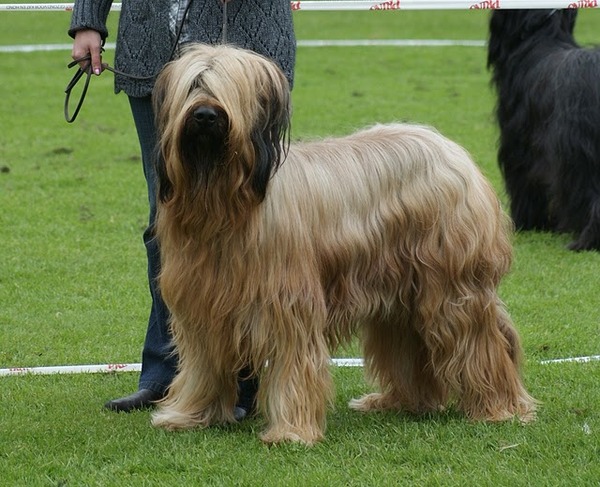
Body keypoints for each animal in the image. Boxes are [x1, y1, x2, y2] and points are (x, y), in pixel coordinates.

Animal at [152, 43, 536, 444]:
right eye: (194, 85)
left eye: (226, 87)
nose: (206, 116)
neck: (223, 202)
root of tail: (454, 152)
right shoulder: (200, 304)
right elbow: (202, 365)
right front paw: (188, 414)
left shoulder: (287, 304)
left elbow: (292, 363)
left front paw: (291, 431)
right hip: (402, 292)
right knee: (409, 344)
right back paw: (401, 402)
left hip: (451, 288)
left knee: (481, 344)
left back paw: (500, 408)